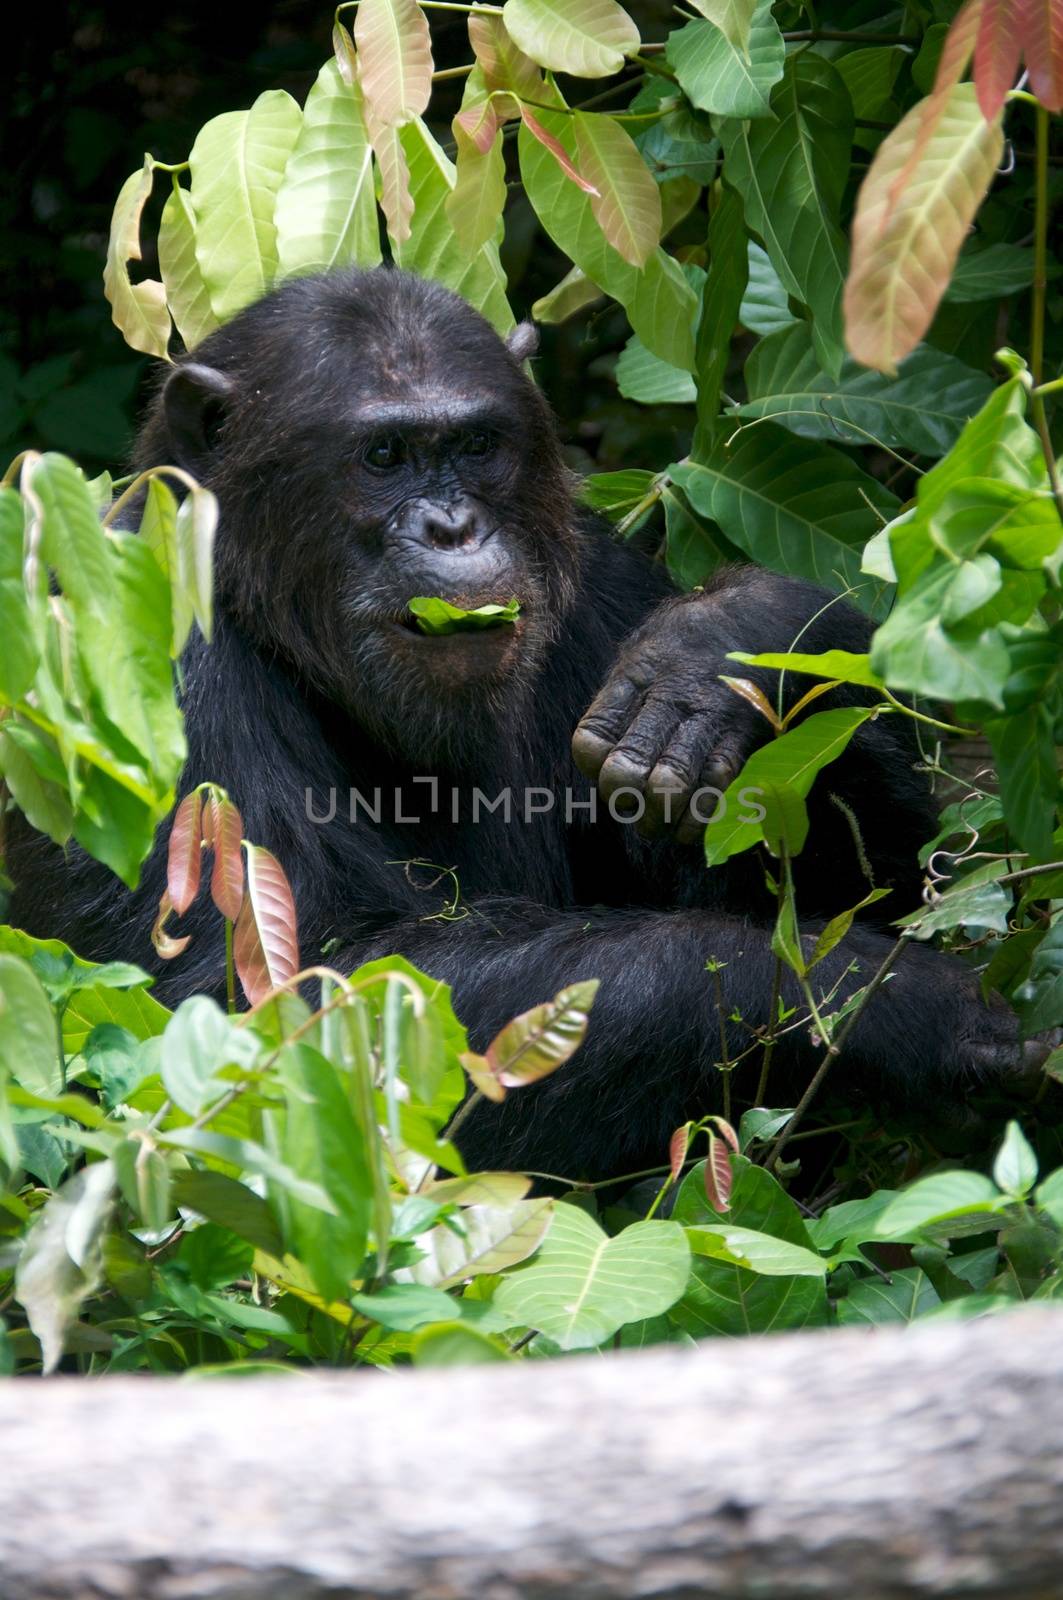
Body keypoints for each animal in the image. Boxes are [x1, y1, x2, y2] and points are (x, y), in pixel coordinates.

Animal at [6, 268, 1037, 1184]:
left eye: (475, 445)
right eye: (383, 458)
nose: (453, 527)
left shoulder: (599, 576)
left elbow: (885, 884)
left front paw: (729, 638)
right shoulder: (137, 645)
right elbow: (250, 1014)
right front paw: (875, 999)